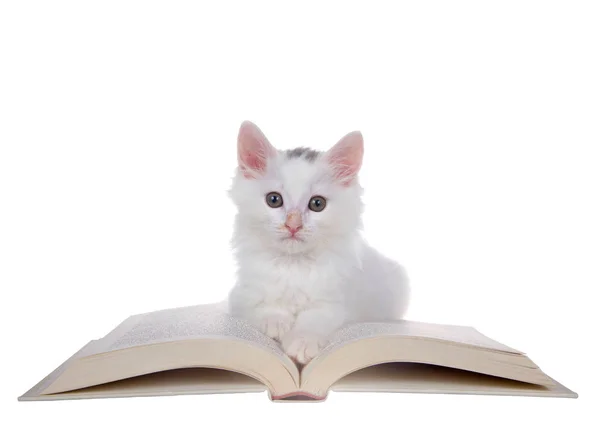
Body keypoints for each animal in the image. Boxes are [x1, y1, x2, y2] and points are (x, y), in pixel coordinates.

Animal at [227, 120, 410, 364]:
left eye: (317, 204)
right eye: (274, 200)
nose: (293, 225)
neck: (293, 265)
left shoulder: (335, 304)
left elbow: (314, 320)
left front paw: (302, 343)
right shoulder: (241, 295)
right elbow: (262, 306)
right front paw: (276, 322)